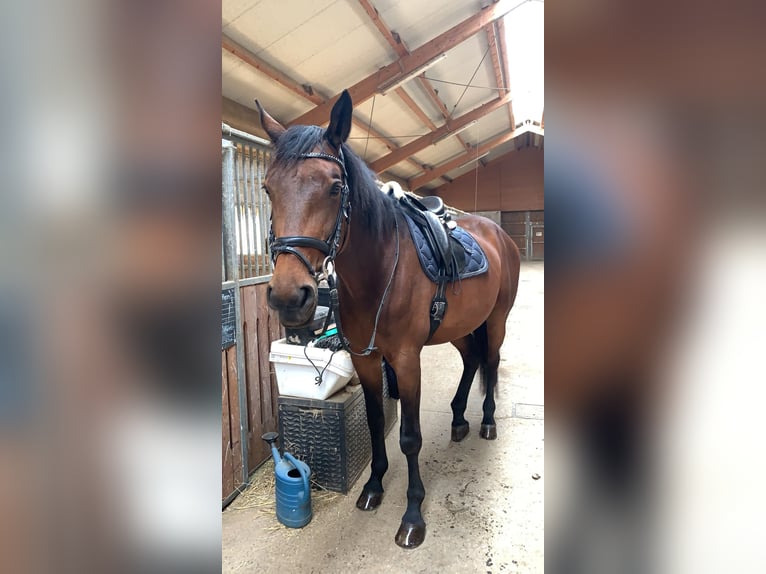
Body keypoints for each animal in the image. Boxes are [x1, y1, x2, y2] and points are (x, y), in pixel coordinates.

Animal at [255, 90, 520, 549]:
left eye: (336, 187)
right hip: (461, 326)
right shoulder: (366, 360)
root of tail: (499, 234)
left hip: (497, 321)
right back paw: (458, 420)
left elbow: (409, 437)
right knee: (472, 360)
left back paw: (486, 422)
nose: (290, 296)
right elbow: (377, 421)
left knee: (490, 361)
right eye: (268, 187)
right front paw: (373, 486)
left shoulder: (407, 361)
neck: (378, 272)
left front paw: (413, 515)